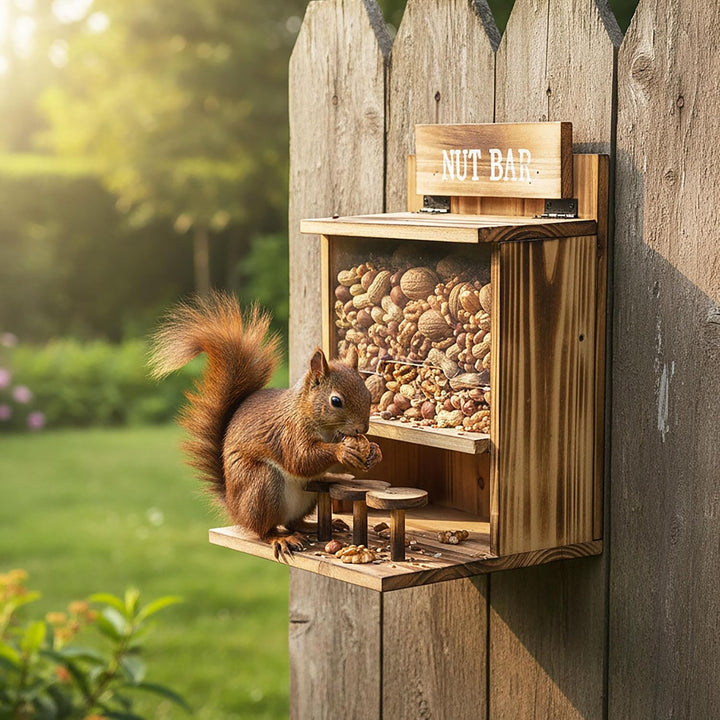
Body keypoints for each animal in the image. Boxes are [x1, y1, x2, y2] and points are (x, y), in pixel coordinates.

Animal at [149, 291, 382, 559]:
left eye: (368, 393)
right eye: (336, 401)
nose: (363, 429)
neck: (319, 423)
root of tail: (235, 509)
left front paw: (374, 451)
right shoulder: (289, 432)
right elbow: (300, 459)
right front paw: (343, 450)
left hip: (307, 496)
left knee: (292, 522)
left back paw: (312, 526)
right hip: (261, 485)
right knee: (264, 530)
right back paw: (281, 538)